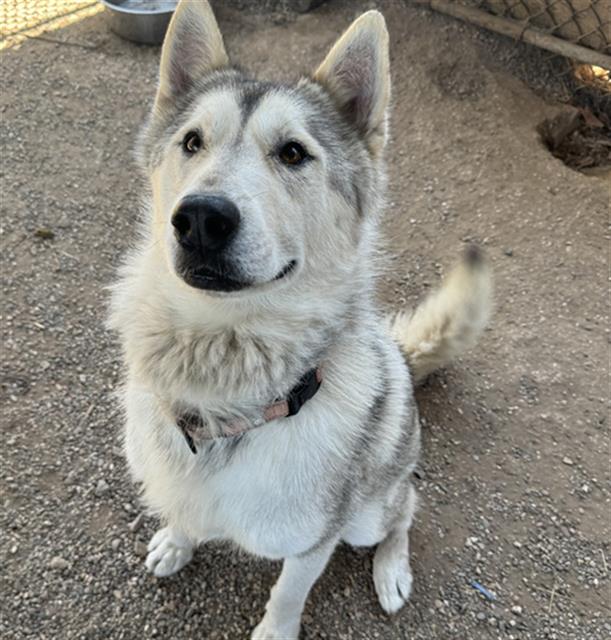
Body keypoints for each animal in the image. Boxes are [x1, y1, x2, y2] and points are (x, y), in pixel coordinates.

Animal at [109, 2, 492, 636]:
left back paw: (392, 570)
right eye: (192, 142)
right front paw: (177, 541)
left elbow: (289, 592)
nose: (200, 219)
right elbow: (185, 511)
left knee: (405, 510)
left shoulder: (317, 539)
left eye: (293, 152)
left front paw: (275, 630)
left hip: (367, 516)